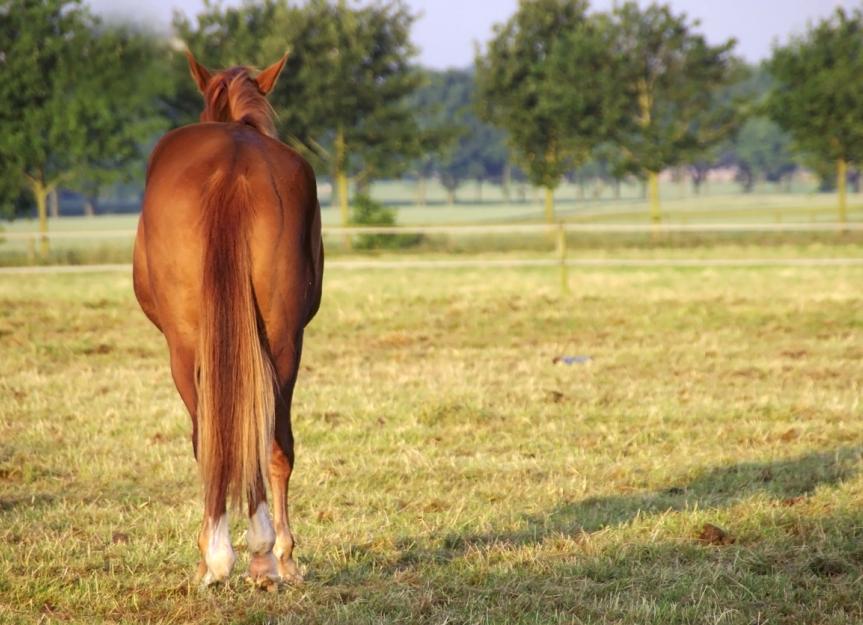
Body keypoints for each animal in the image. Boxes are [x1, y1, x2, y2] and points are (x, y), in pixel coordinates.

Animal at [132, 50, 323, 588]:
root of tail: (233, 167)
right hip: (284, 341)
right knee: (274, 443)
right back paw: (267, 557)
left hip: (184, 349)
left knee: (211, 441)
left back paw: (230, 556)